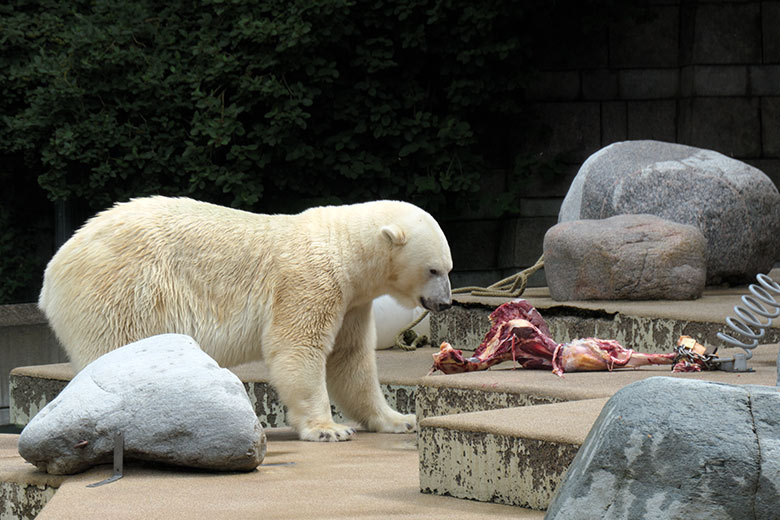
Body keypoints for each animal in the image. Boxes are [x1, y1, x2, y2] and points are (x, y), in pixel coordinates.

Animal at [39, 197, 454, 440]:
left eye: (449, 268)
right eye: (433, 270)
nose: (447, 303)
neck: (343, 248)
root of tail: (54, 269)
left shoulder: (353, 301)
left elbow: (350, 360)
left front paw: (399, 419)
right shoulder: (310, 281)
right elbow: (298, 348)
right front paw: (328, 429)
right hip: (124, 291)